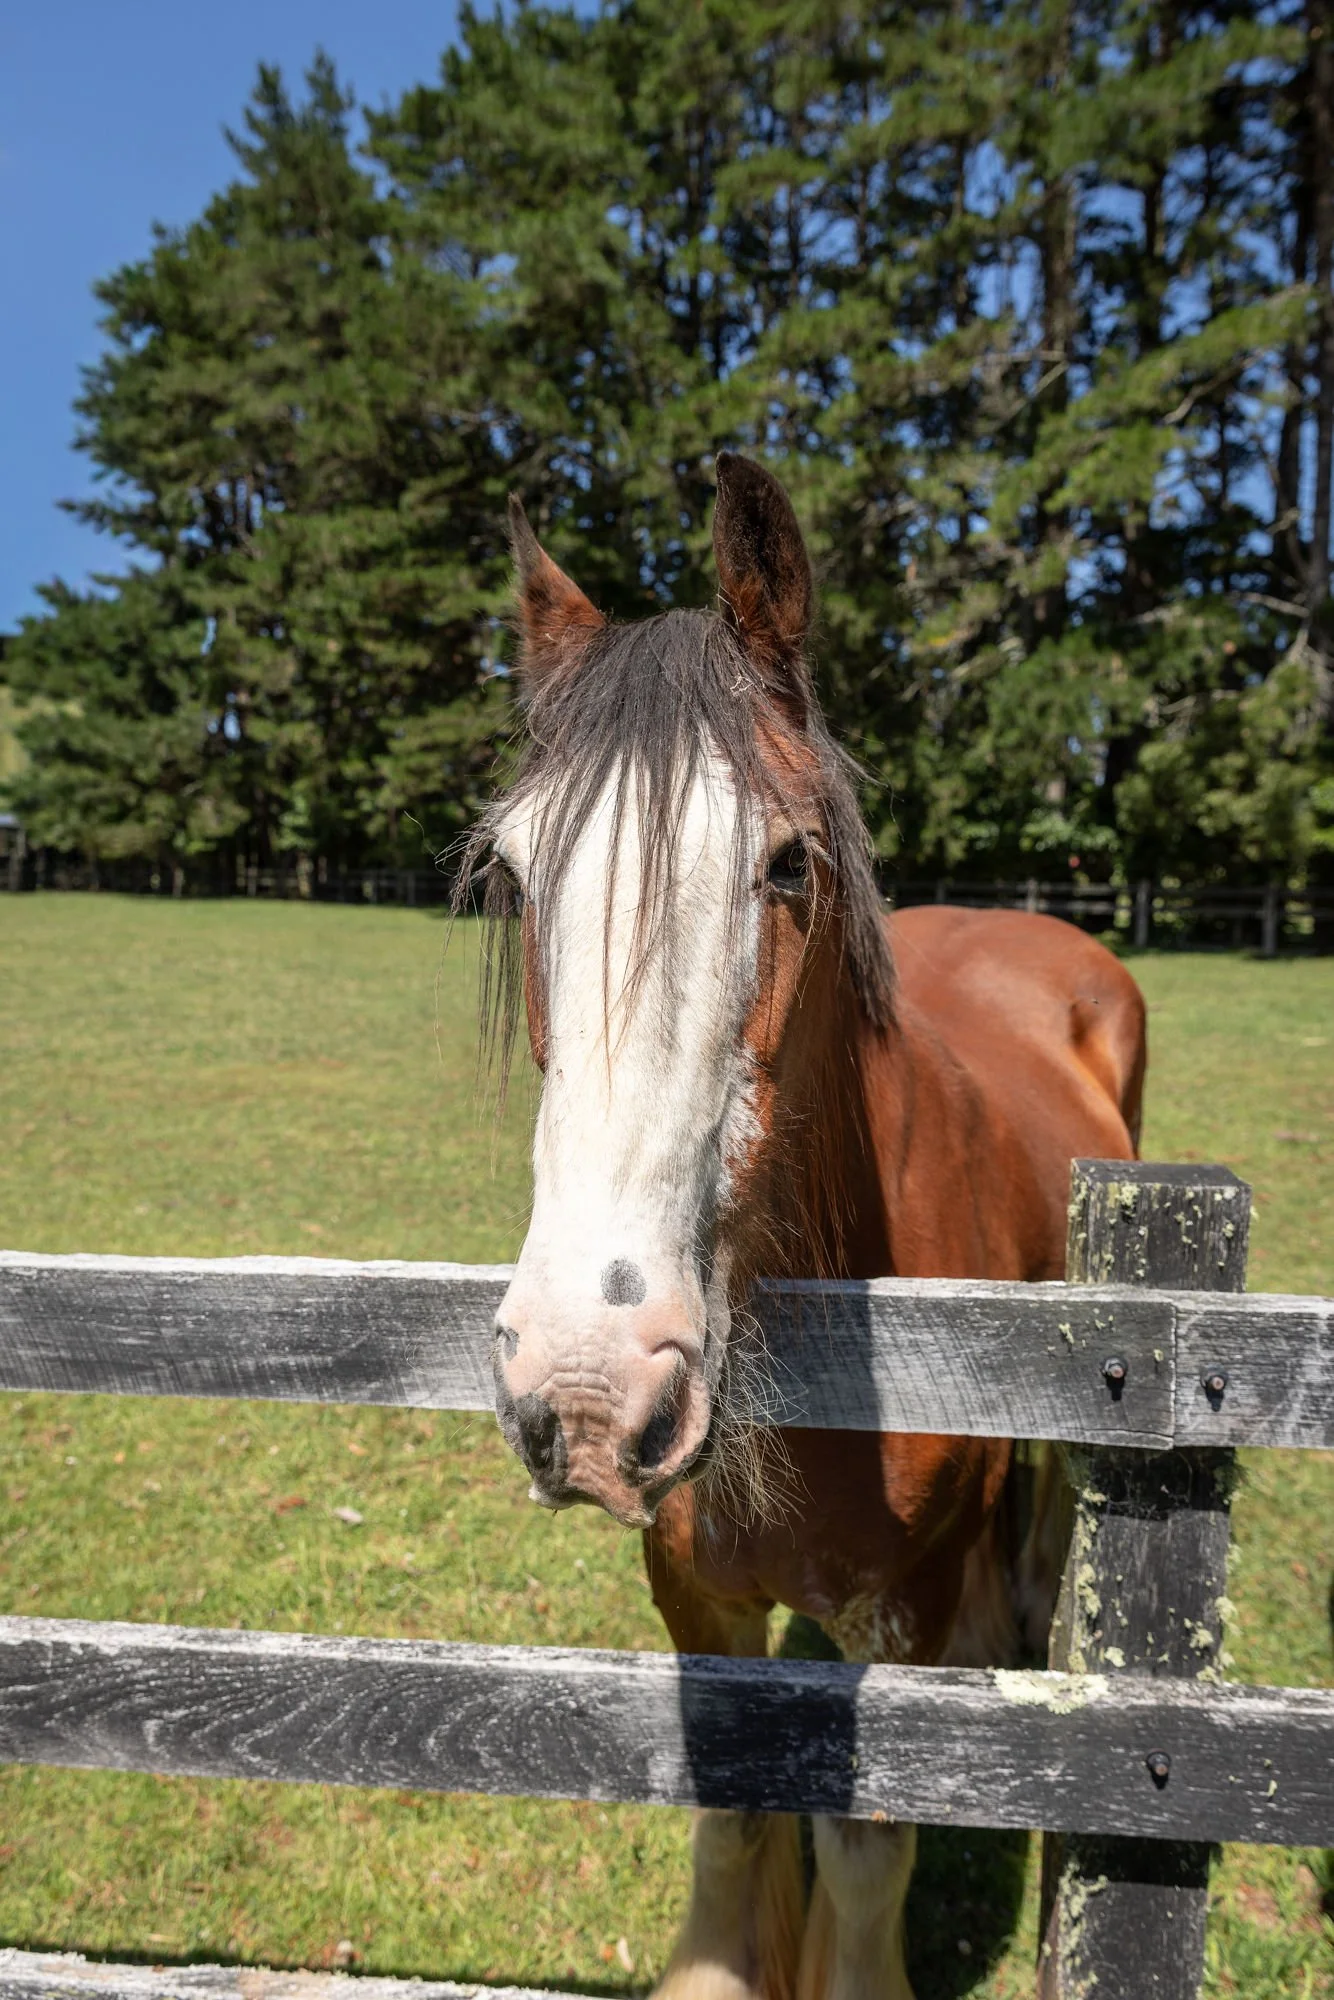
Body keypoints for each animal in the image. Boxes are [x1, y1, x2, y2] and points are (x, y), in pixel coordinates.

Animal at [456, 452, 1146, 2000]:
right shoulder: (694, 1596)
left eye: (786, 864)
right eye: (519, 877)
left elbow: (864, 1848)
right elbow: (738, 1824)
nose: (585, 1388)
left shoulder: (896, 1616)